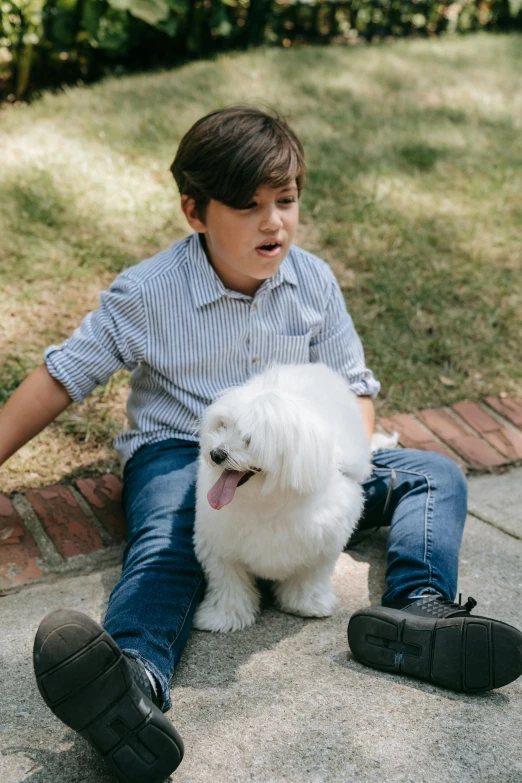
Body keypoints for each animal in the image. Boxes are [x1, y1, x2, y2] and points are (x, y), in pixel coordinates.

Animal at [193, 364, 396, 632]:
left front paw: (306, 605)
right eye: (223, 425)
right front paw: (224, 617)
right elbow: (228, 583)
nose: (216, 454)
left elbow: (308, 577)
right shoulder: (220, 545)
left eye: (249, 439)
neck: (266, 500)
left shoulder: (321, 546)